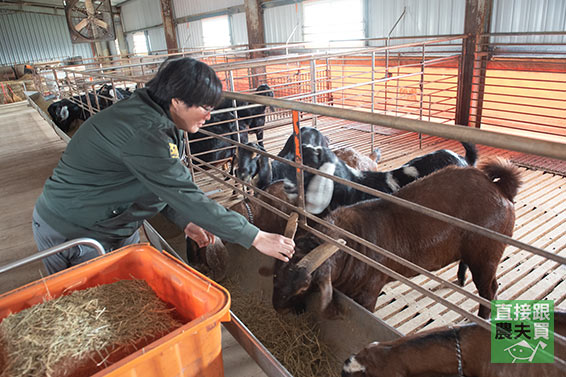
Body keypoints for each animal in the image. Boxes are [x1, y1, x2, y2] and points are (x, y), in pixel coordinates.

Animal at [270, 157, 524, 318]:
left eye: (304, 287)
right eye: (275, 273)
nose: (277, 306)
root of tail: (500, 188)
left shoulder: (369, 290)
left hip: (487, 255)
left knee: (490, 290)